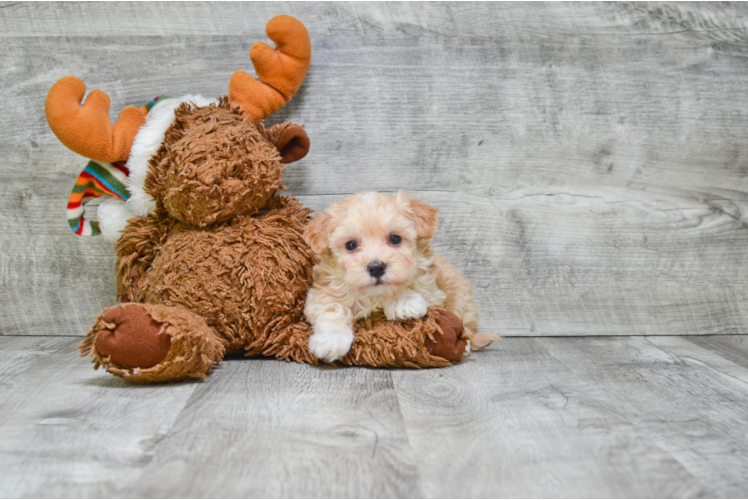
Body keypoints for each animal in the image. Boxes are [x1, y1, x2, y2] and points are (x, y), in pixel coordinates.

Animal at [300, 189, 494, 362]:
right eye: (350, 245)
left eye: (395, 239)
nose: (376, 267)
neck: (374, 296)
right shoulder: (319, 293)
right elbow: (333, 307)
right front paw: (331, 340)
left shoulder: (433, 292)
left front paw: (405, 302)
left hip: (461, 300)